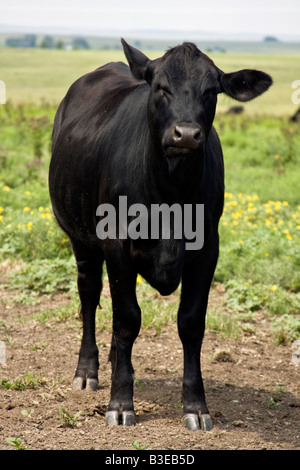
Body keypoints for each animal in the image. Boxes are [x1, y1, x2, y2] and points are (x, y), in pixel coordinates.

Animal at [49, 39, 272, 430]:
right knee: (90, 295)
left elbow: (191, 323)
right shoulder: (116, 244)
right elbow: (127, 319)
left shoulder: (207, 250)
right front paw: (120, 402)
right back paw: (88, 370)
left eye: (211, 91)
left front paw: (196, 406)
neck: (171, 193)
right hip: (81, 240)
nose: (186, 134)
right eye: (160, 87)